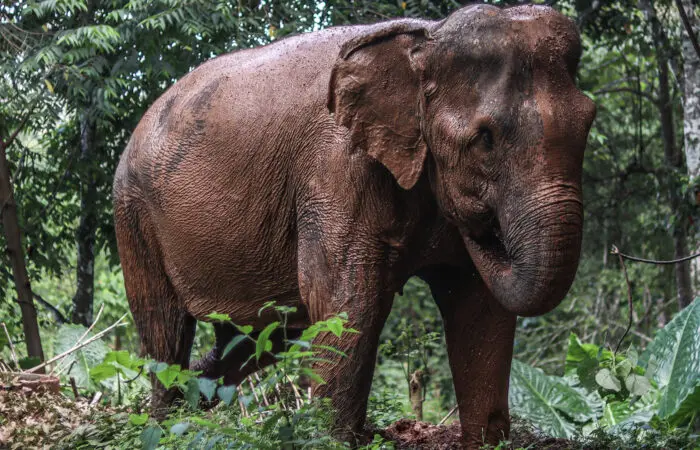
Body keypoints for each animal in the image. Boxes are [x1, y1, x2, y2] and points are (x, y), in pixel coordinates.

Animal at [113, 3, 595, 448]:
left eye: (589, 122)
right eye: (484, 138)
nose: (480, 224)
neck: (425, 38)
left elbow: (479, 307)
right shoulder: (336, 172)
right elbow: (349, 302)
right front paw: (331, 439)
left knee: (254, 337)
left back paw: (194, 410)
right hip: (133, 216)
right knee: (166, 329)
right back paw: (165, 427)